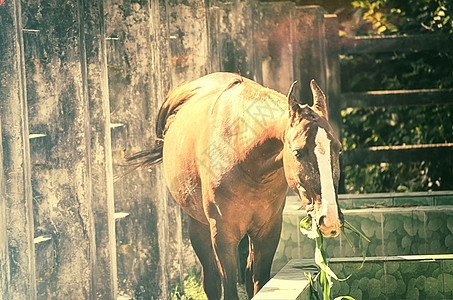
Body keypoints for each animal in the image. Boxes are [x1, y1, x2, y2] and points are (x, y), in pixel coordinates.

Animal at [127, 71, 342, 298]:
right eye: (297, 152)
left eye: (338, 148)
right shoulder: (223, 235)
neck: (243, 154)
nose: (330, 219)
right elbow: (228, 288)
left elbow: (259, 282)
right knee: (211, 280)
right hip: (198, 227)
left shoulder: (268, 231)